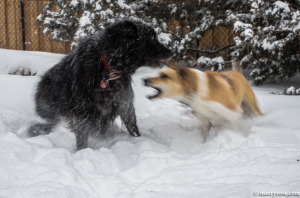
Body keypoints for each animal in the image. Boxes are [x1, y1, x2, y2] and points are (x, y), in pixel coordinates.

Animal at [29, 20, 173, 150]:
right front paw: (83, 151)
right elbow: (86, 136)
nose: (171, 52)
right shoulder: (83, 113)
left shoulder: (125, 106)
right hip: (51, 113)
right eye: (152, 38)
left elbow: (132, 128)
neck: (107, 69)